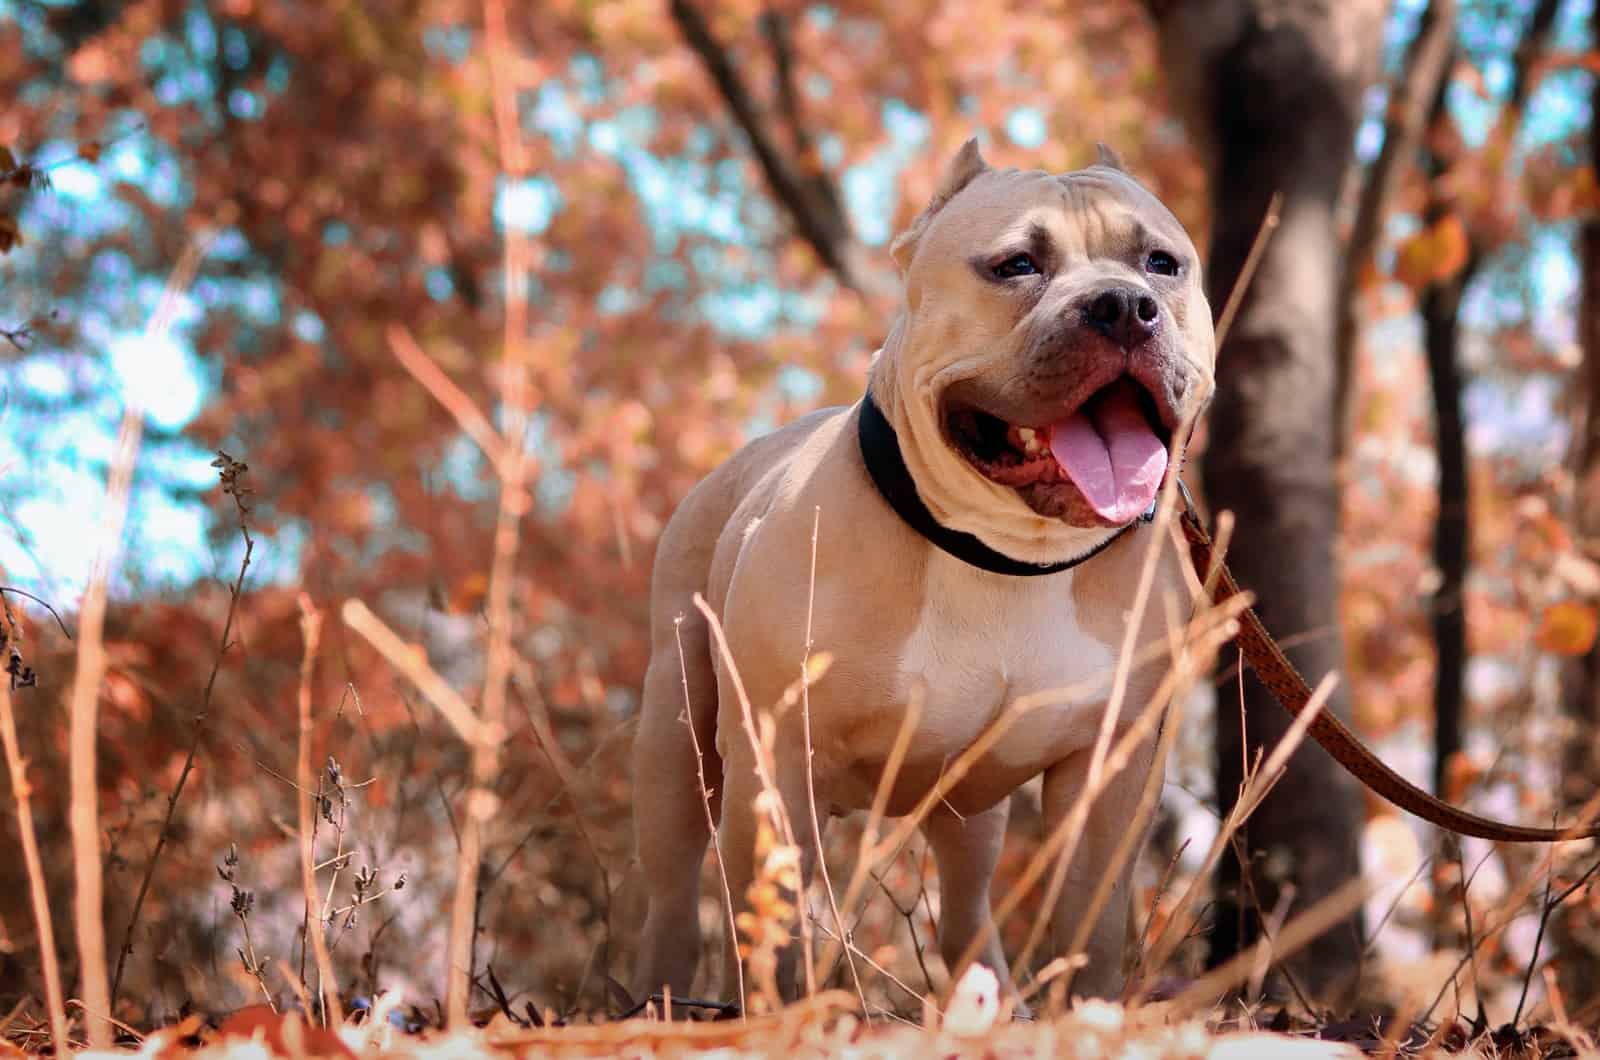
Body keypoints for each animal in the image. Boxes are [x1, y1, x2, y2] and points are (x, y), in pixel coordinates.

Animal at [630, 139, 1216, 1005]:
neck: (1004, 555)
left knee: (966, 909)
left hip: (971, 820)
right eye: (1016, 265)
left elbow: (1091, 921)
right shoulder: (777, 758)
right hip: (678, 742)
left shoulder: (1110, 773)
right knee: (671, 894)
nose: (1122, 305)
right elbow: (771, 926)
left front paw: (1086, 1010)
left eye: (1161, 264)